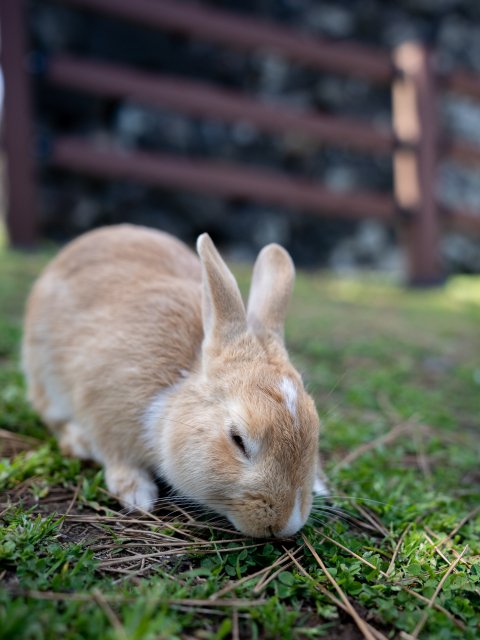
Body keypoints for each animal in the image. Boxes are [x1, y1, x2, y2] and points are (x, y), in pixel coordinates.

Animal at [22, 225, 324, 540]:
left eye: (316, 432)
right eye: (238, 439)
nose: (286, 524)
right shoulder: (101, 411)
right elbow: (117, 456)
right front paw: (138, 495)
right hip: (44, 378)